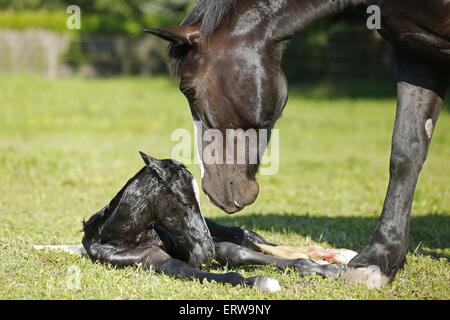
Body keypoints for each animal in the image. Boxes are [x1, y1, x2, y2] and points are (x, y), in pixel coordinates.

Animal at [82, 153, 344, 292]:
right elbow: (183, 268)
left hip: (221, 229)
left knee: (252, 238)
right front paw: (261, 281)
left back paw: (336, 256)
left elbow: (237, 252)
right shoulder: (152, 260)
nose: (205, 252)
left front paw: (326, 269)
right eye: (185, 202)